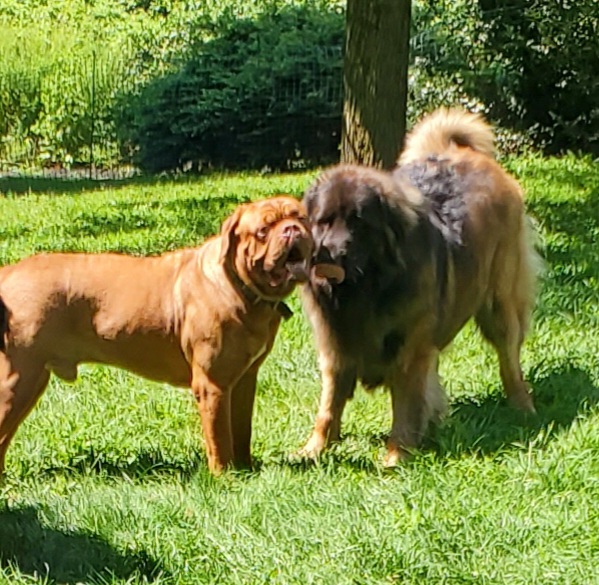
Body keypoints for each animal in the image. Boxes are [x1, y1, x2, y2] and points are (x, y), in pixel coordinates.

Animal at [0, 196, 312, 475]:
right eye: (263, 230)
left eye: (301, 218)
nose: (292, 229)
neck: (240, 286)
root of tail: (8, 273)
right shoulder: (212, 384)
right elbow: (220, 438)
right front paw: (224, 476)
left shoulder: (245, 379)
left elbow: (241, 429)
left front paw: (246, 469)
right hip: (19, 379)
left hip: (33, 380)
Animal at [299, 108, 540, 466]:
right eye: (323, 222)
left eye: (359, 223)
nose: (333, 254)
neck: (367, 293)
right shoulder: (335, 346)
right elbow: (329, 405)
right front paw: (313, 449)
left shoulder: (409, 348)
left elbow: (405, 405)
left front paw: (396, 455)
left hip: (499, 304)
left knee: (508, 357)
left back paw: (522, 406)